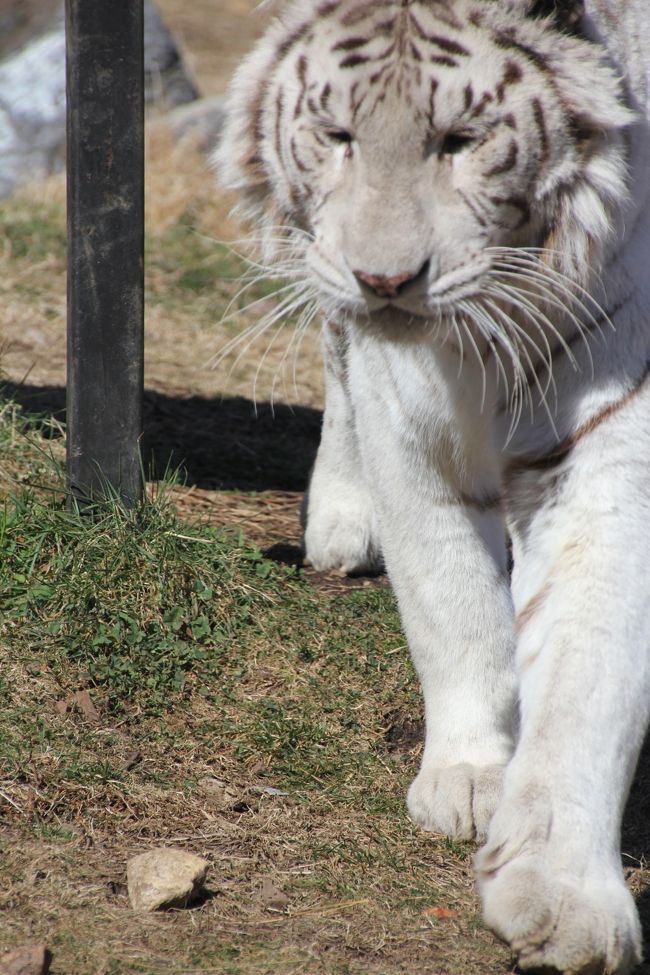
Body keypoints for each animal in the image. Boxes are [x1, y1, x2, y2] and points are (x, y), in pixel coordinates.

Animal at [216, 3, 648, 972]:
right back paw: (339, 528)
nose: (385, 279)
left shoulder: (613, 435)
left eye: (461, 141)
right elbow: (450, 600)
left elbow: (589, 666)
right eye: (338, 134)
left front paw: (563, 899)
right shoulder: (404, 415)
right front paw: (471, 776)